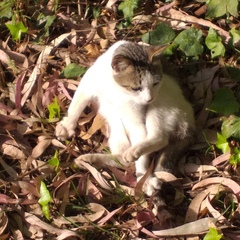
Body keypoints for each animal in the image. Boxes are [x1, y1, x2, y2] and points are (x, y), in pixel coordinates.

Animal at [55, 40, 195, 227]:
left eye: (155, 83)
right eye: (136, 87)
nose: (148, 98)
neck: (118, 91)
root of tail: (191, 127)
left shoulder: (139, 120)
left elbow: (143, 151)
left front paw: (144, 177)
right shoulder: (89, 83)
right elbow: (76, 104)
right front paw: (67, 125)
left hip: (161, 105)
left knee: (159, 138)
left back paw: (141, 168)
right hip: (116, 130)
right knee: (121, 159)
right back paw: (90, 159)